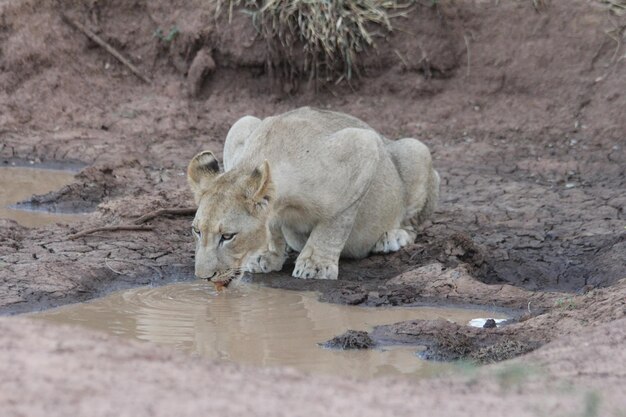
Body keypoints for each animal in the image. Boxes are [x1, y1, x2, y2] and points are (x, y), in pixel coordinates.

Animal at [188, 105, 436, 284]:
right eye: (197, 231)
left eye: (228, 236)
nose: (204, 277)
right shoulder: (240, 126)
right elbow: (271, 224)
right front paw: (266, 254)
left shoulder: (363, 145)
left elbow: (333, 224)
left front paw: (315, 266)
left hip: (417, 150)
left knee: (412, 225)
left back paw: (392, 237)